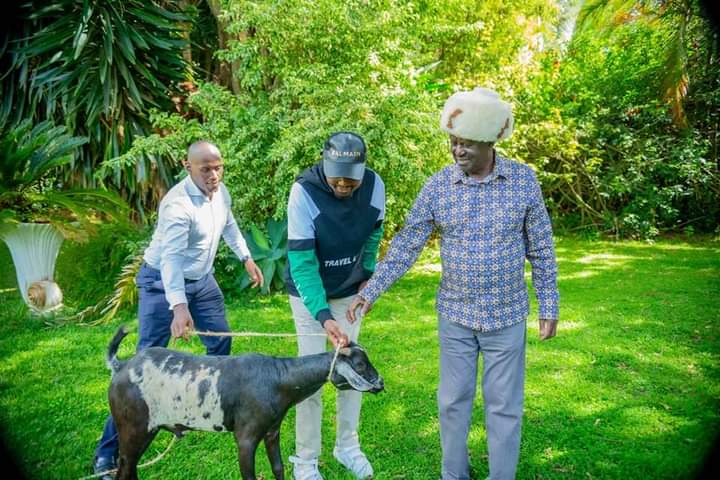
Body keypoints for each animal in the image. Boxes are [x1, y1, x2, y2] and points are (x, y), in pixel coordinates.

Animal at [105, 326, 386, 480]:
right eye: (360, 364)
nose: (381, 383)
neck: (278, 377)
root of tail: (120, 365)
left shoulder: (272, 431)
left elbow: (278, 468)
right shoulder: (246, 437)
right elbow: (249, 475)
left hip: (146, 431)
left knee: (129, 468)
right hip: (132, 429)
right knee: (124, 469)